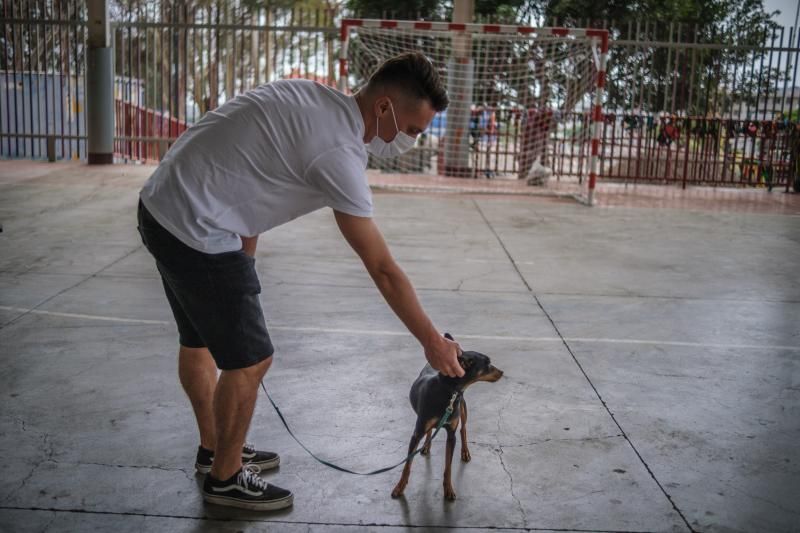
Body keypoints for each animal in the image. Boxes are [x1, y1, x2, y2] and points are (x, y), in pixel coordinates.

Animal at [390, 332, 504, 498]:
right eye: (487, 363)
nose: (502, 372)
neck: (449, 390)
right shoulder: (417, 434)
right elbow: (407, 464)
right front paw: (399, 487)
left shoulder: (451, 435)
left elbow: (448, 466)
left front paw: (449, 489)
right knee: (431, 431)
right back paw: (426, 445)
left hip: (463, 408)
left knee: (463, 429)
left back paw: (465, 452)